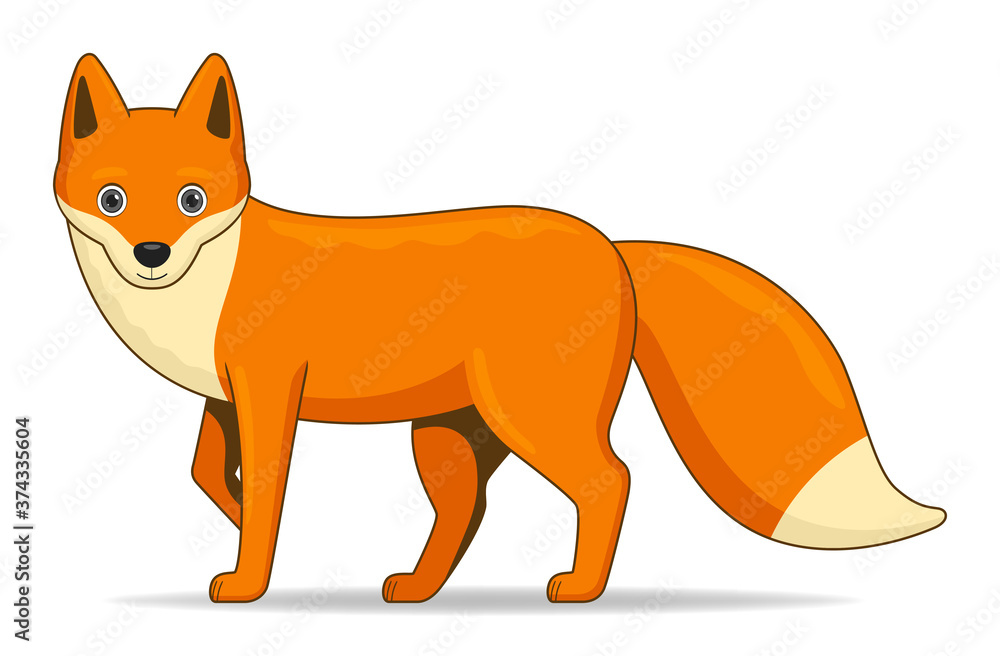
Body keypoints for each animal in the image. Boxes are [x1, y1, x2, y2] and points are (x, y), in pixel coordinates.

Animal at [53, 53, 945, 604]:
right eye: (113, 199)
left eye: (192, 199)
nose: (153, 251)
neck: (207, 283)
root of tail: (611, 246)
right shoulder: (226, 397)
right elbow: (207, 473)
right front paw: (240, 525)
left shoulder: (270, 391)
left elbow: (267, 492)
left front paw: (249, 576)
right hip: (446, 435)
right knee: (469, 513)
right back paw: (417, 591)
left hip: (532, 417)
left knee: (611, 481)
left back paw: (580, 590)